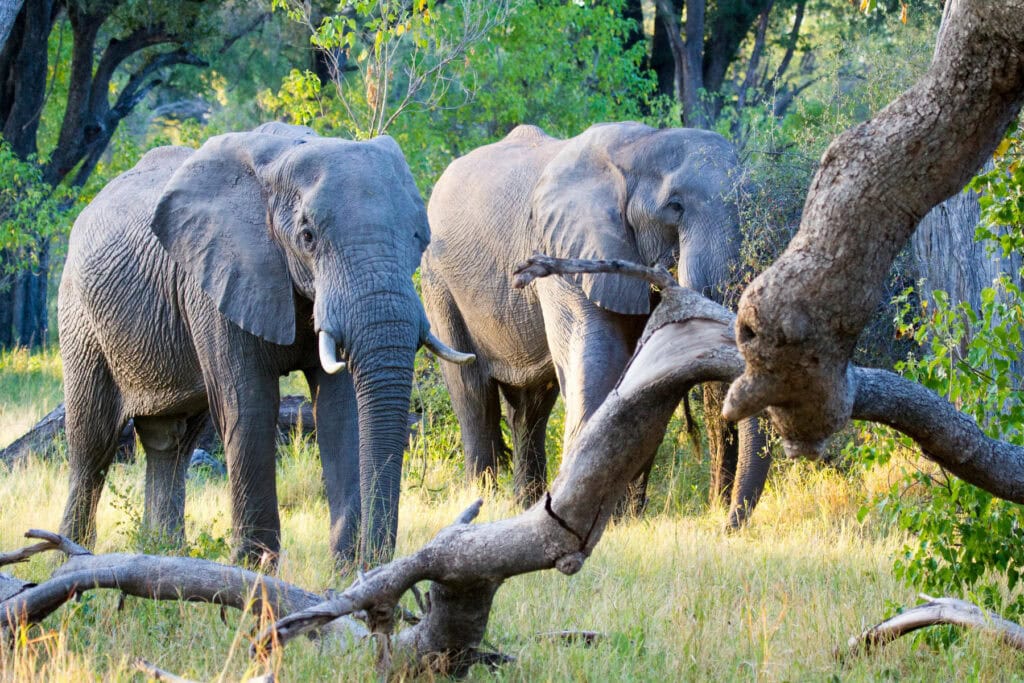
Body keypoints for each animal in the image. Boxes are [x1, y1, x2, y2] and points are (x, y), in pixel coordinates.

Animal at [61, 122, 477, 565]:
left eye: (418, 237)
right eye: (307, 236)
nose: (375, 559)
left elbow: (339, 410)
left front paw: (344, 567)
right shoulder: (217, 278)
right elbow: (249, 406)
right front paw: (252, 568)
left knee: (171, 442)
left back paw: (164, 553)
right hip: (80, 319)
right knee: (92, 443)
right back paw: (70, 557)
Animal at [421, 122, 770, 524]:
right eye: (675, 207)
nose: (723, 519)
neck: (640, 147)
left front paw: (625, 517)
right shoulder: (562, 251)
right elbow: (596, 359)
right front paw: (595, 518)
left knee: (532, 406)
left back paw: (524, 503)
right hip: (437, 279)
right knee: (473, 392)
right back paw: (485, 500)